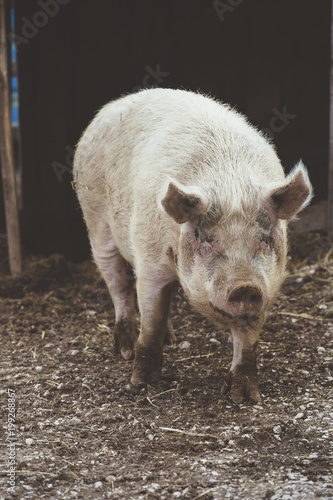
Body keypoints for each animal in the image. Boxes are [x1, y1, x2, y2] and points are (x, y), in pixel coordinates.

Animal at [72, 89, 312, 402]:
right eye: (208, 240)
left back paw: (171, 340)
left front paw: (245, 398)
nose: (245, 286)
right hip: (96, 221)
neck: (230, 185)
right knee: (119, 287)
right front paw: (141, 385)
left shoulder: (268, 286)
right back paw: (124, 351)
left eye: (263, 238)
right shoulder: (150, 263)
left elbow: (247, 341)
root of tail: (115, 105)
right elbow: (151, 320)